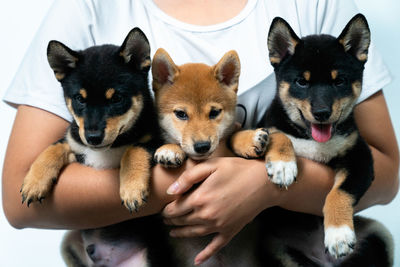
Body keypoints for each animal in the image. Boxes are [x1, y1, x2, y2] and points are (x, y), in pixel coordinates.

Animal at [260, 13, 394, 262]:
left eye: (338, 81)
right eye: (302, 82)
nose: (321, 112)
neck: (313, 141)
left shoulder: (359, 157)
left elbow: (339, 193)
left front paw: (338, 234)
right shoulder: (268, 126)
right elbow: (281, 136)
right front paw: (283, 166)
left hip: (380, 236)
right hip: (278, 250)